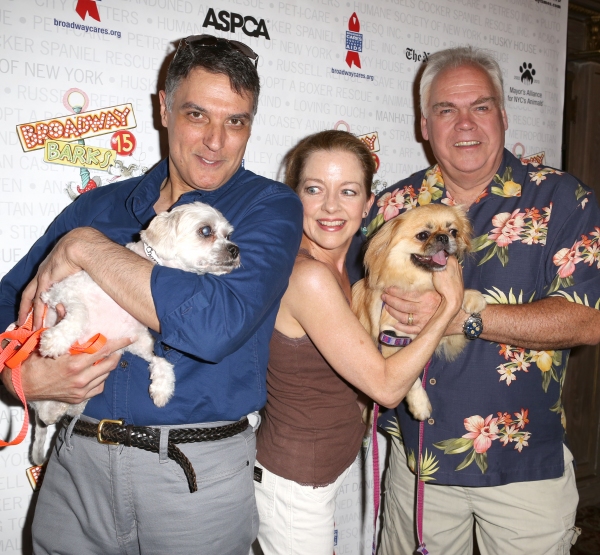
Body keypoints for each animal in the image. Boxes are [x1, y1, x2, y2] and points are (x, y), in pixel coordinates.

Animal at [29, 201, 241, 464]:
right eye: (205, 231)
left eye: (228, 235)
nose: (235, 249)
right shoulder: (60, 294)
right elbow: (80, 316)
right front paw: (56, 341)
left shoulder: (134, 338)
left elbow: (161, 358)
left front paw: (162, 388)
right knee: (45, 414)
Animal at [354, 206, 486, 420]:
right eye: (422, 235)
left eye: (453, 231)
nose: (443, 237)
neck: (418, 280)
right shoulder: (392, 339)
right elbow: (412, 381)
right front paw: (420, 405)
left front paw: (472, 297)